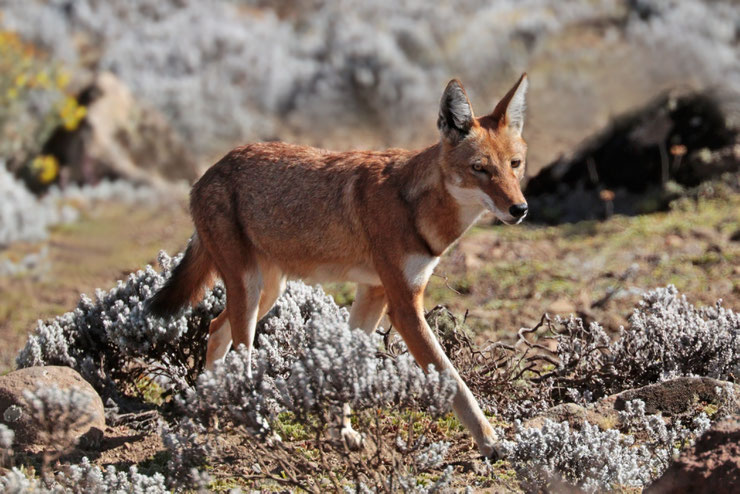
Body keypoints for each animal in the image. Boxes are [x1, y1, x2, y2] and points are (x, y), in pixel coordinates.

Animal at [145, 73, 528, 456]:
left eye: (515, 165)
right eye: (479, 168)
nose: (520, 209)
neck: (415, 206)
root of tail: (208, 173)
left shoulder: (374, 292)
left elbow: (347, 364)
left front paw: (341, 433)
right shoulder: (405, 307)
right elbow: (455, 381)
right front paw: (492, 441)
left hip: (266, 293)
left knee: (214, 328)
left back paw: (210, 413)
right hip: (251, 293)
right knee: (241, 356)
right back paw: (261, 430)